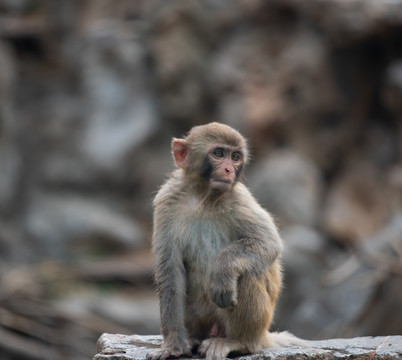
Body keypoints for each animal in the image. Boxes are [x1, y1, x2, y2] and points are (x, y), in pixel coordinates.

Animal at [148, 121, 304, 360]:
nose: (229, 169)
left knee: (247, 273)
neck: (202, 197)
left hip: (253, 325)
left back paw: (238, 342)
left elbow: (267, 242)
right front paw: (174, 346)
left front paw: (223, 271)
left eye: (236, 157)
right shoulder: (167, 202)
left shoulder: (238, 198)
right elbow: (170, 272)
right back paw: (193, 339)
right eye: (219, 154)